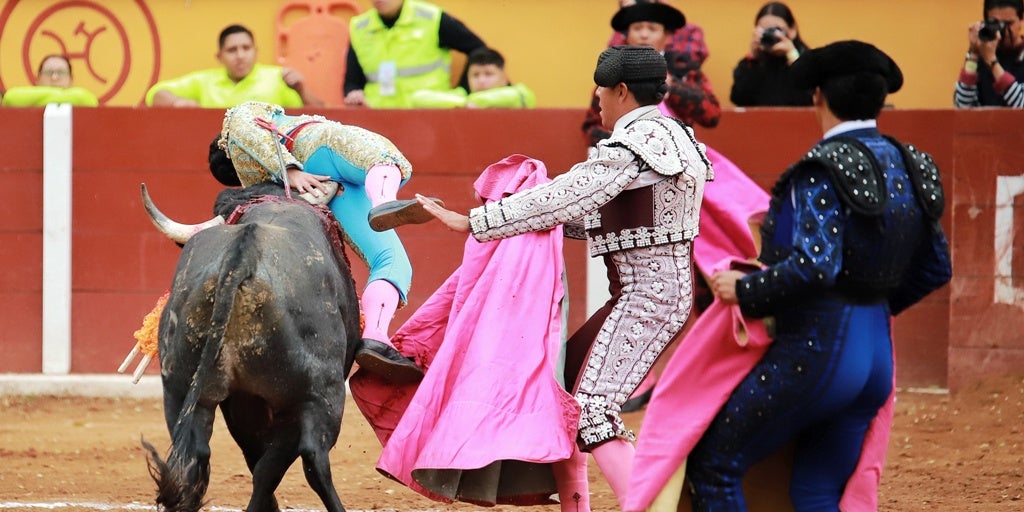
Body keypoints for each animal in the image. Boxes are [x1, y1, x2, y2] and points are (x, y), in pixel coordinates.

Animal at [140, 184, 364, 512]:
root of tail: (241, 258)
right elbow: (275, 462)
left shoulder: (240, 402)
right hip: (316, 394)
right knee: (311, 459)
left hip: (181, 389)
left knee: (195, 460)